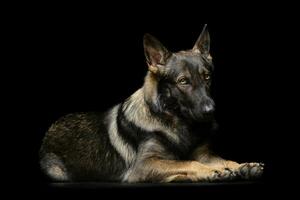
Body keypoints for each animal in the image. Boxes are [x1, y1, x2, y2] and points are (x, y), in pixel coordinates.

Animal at [39, 25, 262, 183]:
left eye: (207, 77)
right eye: (183, 81)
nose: (211, 111)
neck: (177, 124)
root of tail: (52, 127)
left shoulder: (204, 154)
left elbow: (222, 160)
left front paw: (243, 165)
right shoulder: (145, 164)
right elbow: (187, 161)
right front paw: (211, 170)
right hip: (58, 172)